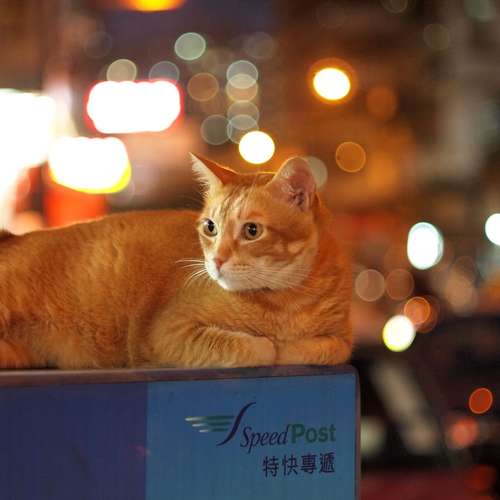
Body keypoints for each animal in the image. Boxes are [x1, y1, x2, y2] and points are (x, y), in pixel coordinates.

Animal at [0, 155, 352, 370]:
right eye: (210, 227)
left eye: (252, 231)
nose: (217, 260)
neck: (287, 302)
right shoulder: (167, 330)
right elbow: (257, 348)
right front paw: (271, 346)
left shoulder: (341, 341)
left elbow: (322, 348)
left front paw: (290, 347)